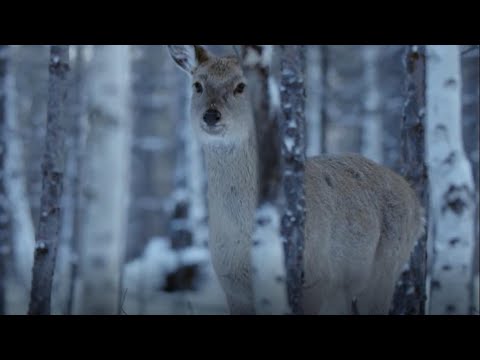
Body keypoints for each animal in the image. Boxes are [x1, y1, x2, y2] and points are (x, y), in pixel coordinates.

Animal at [168, 45, 424, 316]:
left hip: (385, 269)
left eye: (241, 85)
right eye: (197, 85)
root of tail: (417, 203)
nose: (211, 115)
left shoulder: (315, 277)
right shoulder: (232, 285)